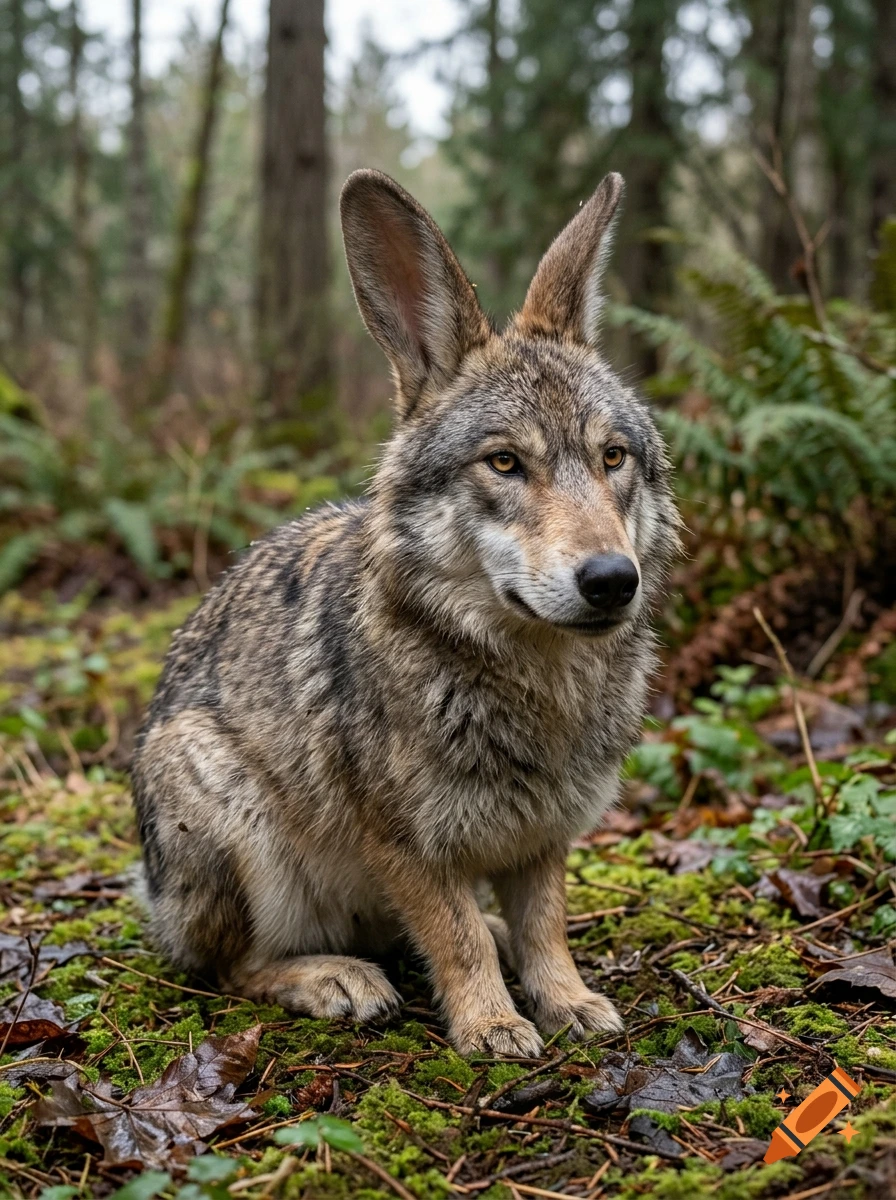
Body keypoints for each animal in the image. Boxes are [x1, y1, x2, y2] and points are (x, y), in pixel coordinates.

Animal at [131, 169, 680, 1056]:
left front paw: (566, 1002)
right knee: (232, 968)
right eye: (504, 462)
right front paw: (491, 1027)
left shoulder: (546, 836)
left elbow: (545, 929)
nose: (610, 580)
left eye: (612, 458)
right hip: (233, 819)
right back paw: (334, 979)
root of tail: (155, 898)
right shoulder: (408, 845)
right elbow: (453, 938)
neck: (536, 681)